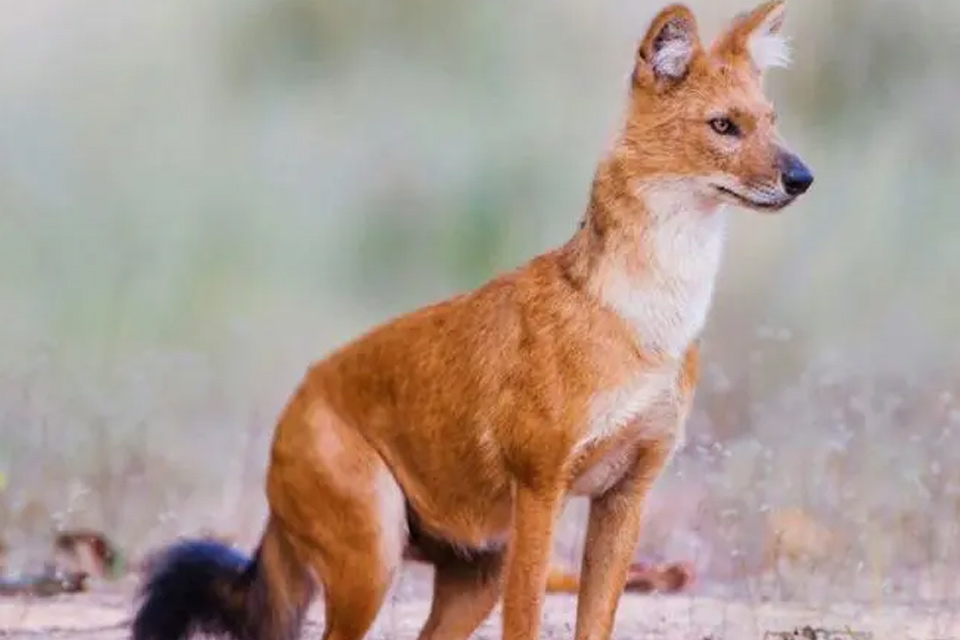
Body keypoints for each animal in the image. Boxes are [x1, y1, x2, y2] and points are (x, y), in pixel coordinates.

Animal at [133, 5, 808, 640]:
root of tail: (293, 403)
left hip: (475, 572)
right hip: (375, 560)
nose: (802, 177)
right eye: (724, 126)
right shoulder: (540, 487)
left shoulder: (627, 495)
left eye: (772, 120)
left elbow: (596, 621)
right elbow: (527, 620)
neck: (647, 319)